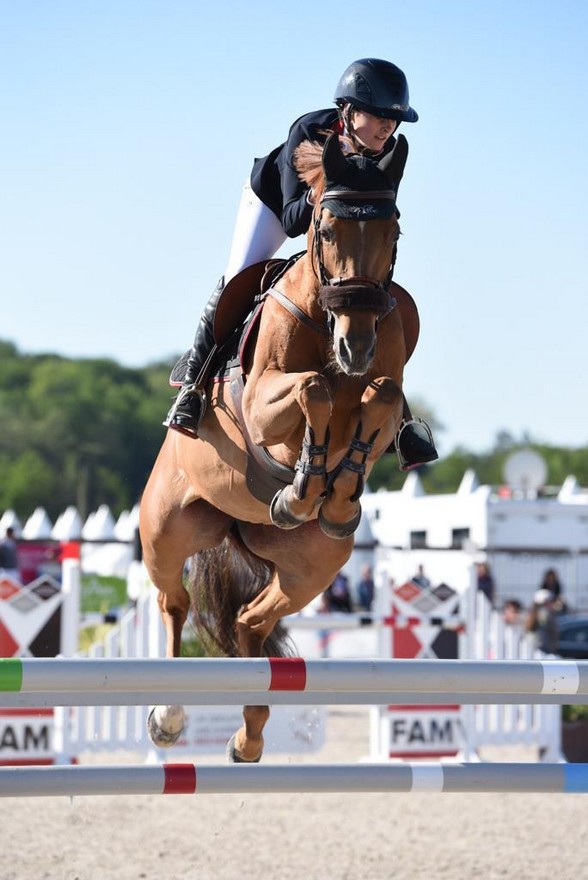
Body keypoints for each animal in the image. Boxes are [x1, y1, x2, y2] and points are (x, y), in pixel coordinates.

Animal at [139, 132, 418, 764]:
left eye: (393, 232)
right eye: (327, 230)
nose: (356, 346)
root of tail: (234, 525)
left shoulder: (383, 387)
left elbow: (381, 397)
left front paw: (332, 496)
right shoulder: (263, 404)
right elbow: (313, 388)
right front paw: (303, 483)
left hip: (311, 567)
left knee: (249, 623)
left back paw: (248, 737)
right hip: (166, 528)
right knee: (174, 602)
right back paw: (168, 716)